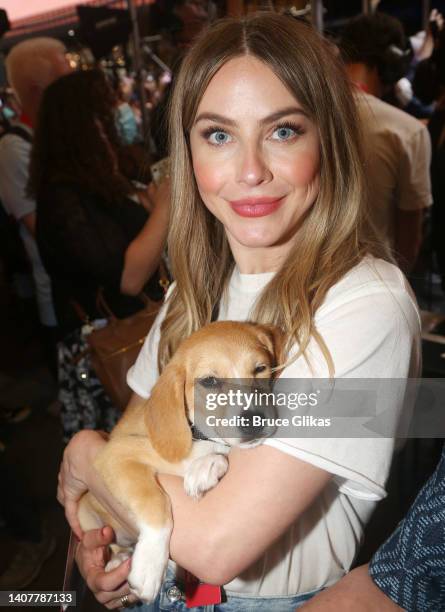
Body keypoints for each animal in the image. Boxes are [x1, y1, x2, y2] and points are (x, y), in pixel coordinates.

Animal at [78, 320, 282, 604]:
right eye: (209, 381)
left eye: (260, 368)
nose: (255, 420)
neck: (198, 434)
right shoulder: (115, 455)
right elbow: (156, 502)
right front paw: (149, 566)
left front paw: (206, 466)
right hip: (86, 515)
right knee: (112, 543)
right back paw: (118, 559)